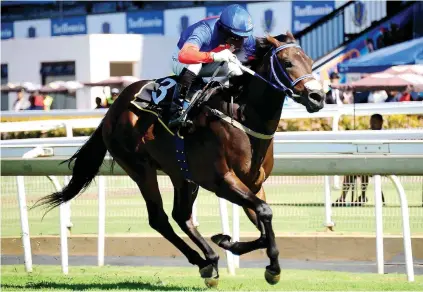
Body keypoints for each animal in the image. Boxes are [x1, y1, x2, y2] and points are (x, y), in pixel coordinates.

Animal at [38, 32, 326, 288]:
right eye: (287, 63)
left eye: (310, 62)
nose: (318, 97)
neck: (243, 118)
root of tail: (112, 109)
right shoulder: (222, 181)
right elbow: (265, 213)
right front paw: (261, 262)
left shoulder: (254, 185)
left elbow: (264, 222)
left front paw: (237, 246)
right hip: (140, 168)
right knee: (159, 218)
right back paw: (203, 262)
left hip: (182, 173)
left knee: (181, 215)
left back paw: (209, 260)